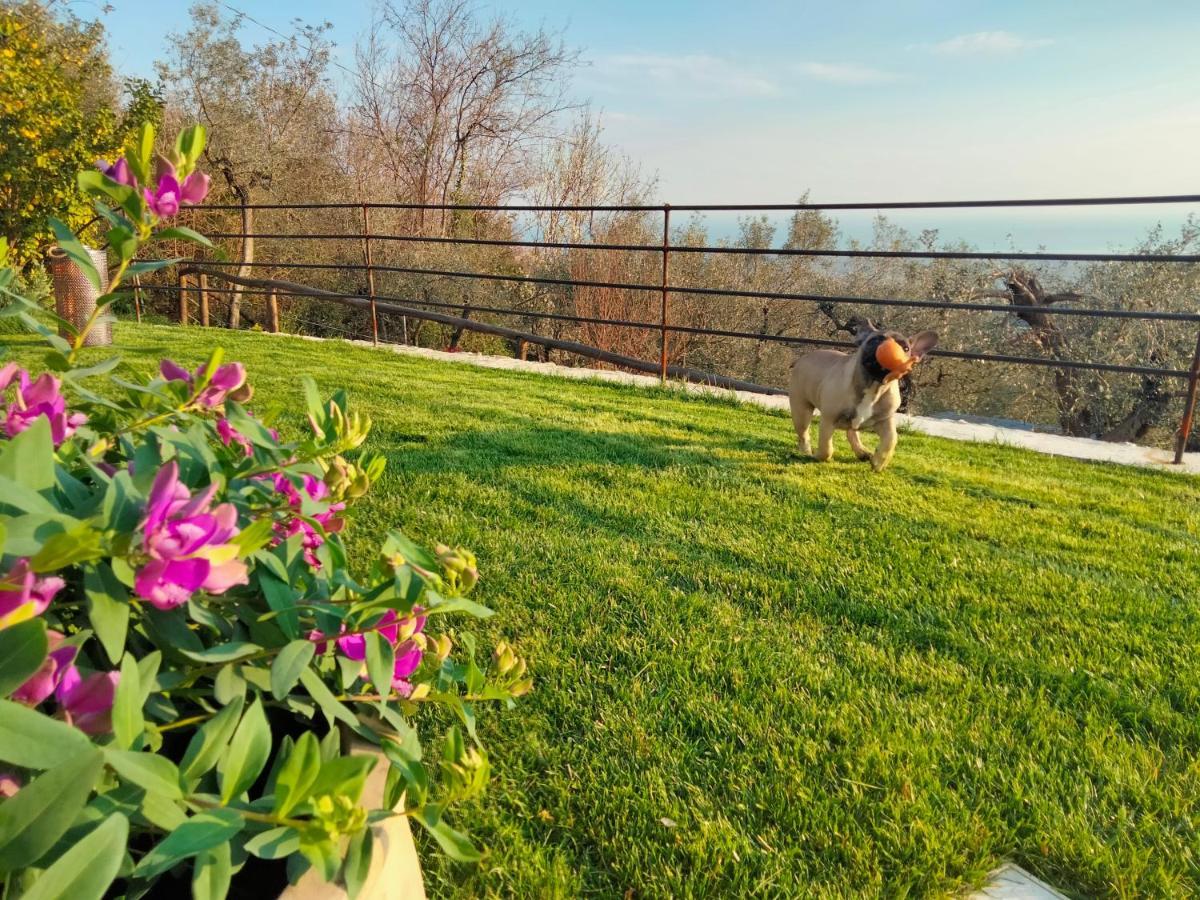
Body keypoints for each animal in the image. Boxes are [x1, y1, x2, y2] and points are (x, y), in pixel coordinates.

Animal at [787, 321, 936, 472]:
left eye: (906, 348)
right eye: (874, 340)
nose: (888, 346)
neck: (873, 385)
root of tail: (802, 359)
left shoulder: (885, 420)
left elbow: (891, 439)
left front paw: (879, 461)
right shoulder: (829, 419)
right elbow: (826, 448)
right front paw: (818, 456)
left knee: (851, 432)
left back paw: (862, 452)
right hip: (801, 410)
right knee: (804, 433)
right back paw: (806, 451)